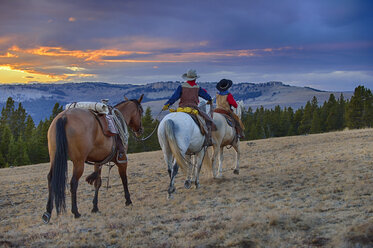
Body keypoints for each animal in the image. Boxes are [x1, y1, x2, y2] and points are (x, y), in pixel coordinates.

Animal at [42, 94, 144, 223]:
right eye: (141, 111)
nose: (140, 130)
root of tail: (64, 116)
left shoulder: (98, 162)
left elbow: (97, 183)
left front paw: (95, 207)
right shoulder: (121, 160)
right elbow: (124, 179)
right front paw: (128, 201)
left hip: (54, 157)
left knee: (51, 178)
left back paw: (47, 212)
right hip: (79, 162)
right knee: (73, 182)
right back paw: (76, 212)